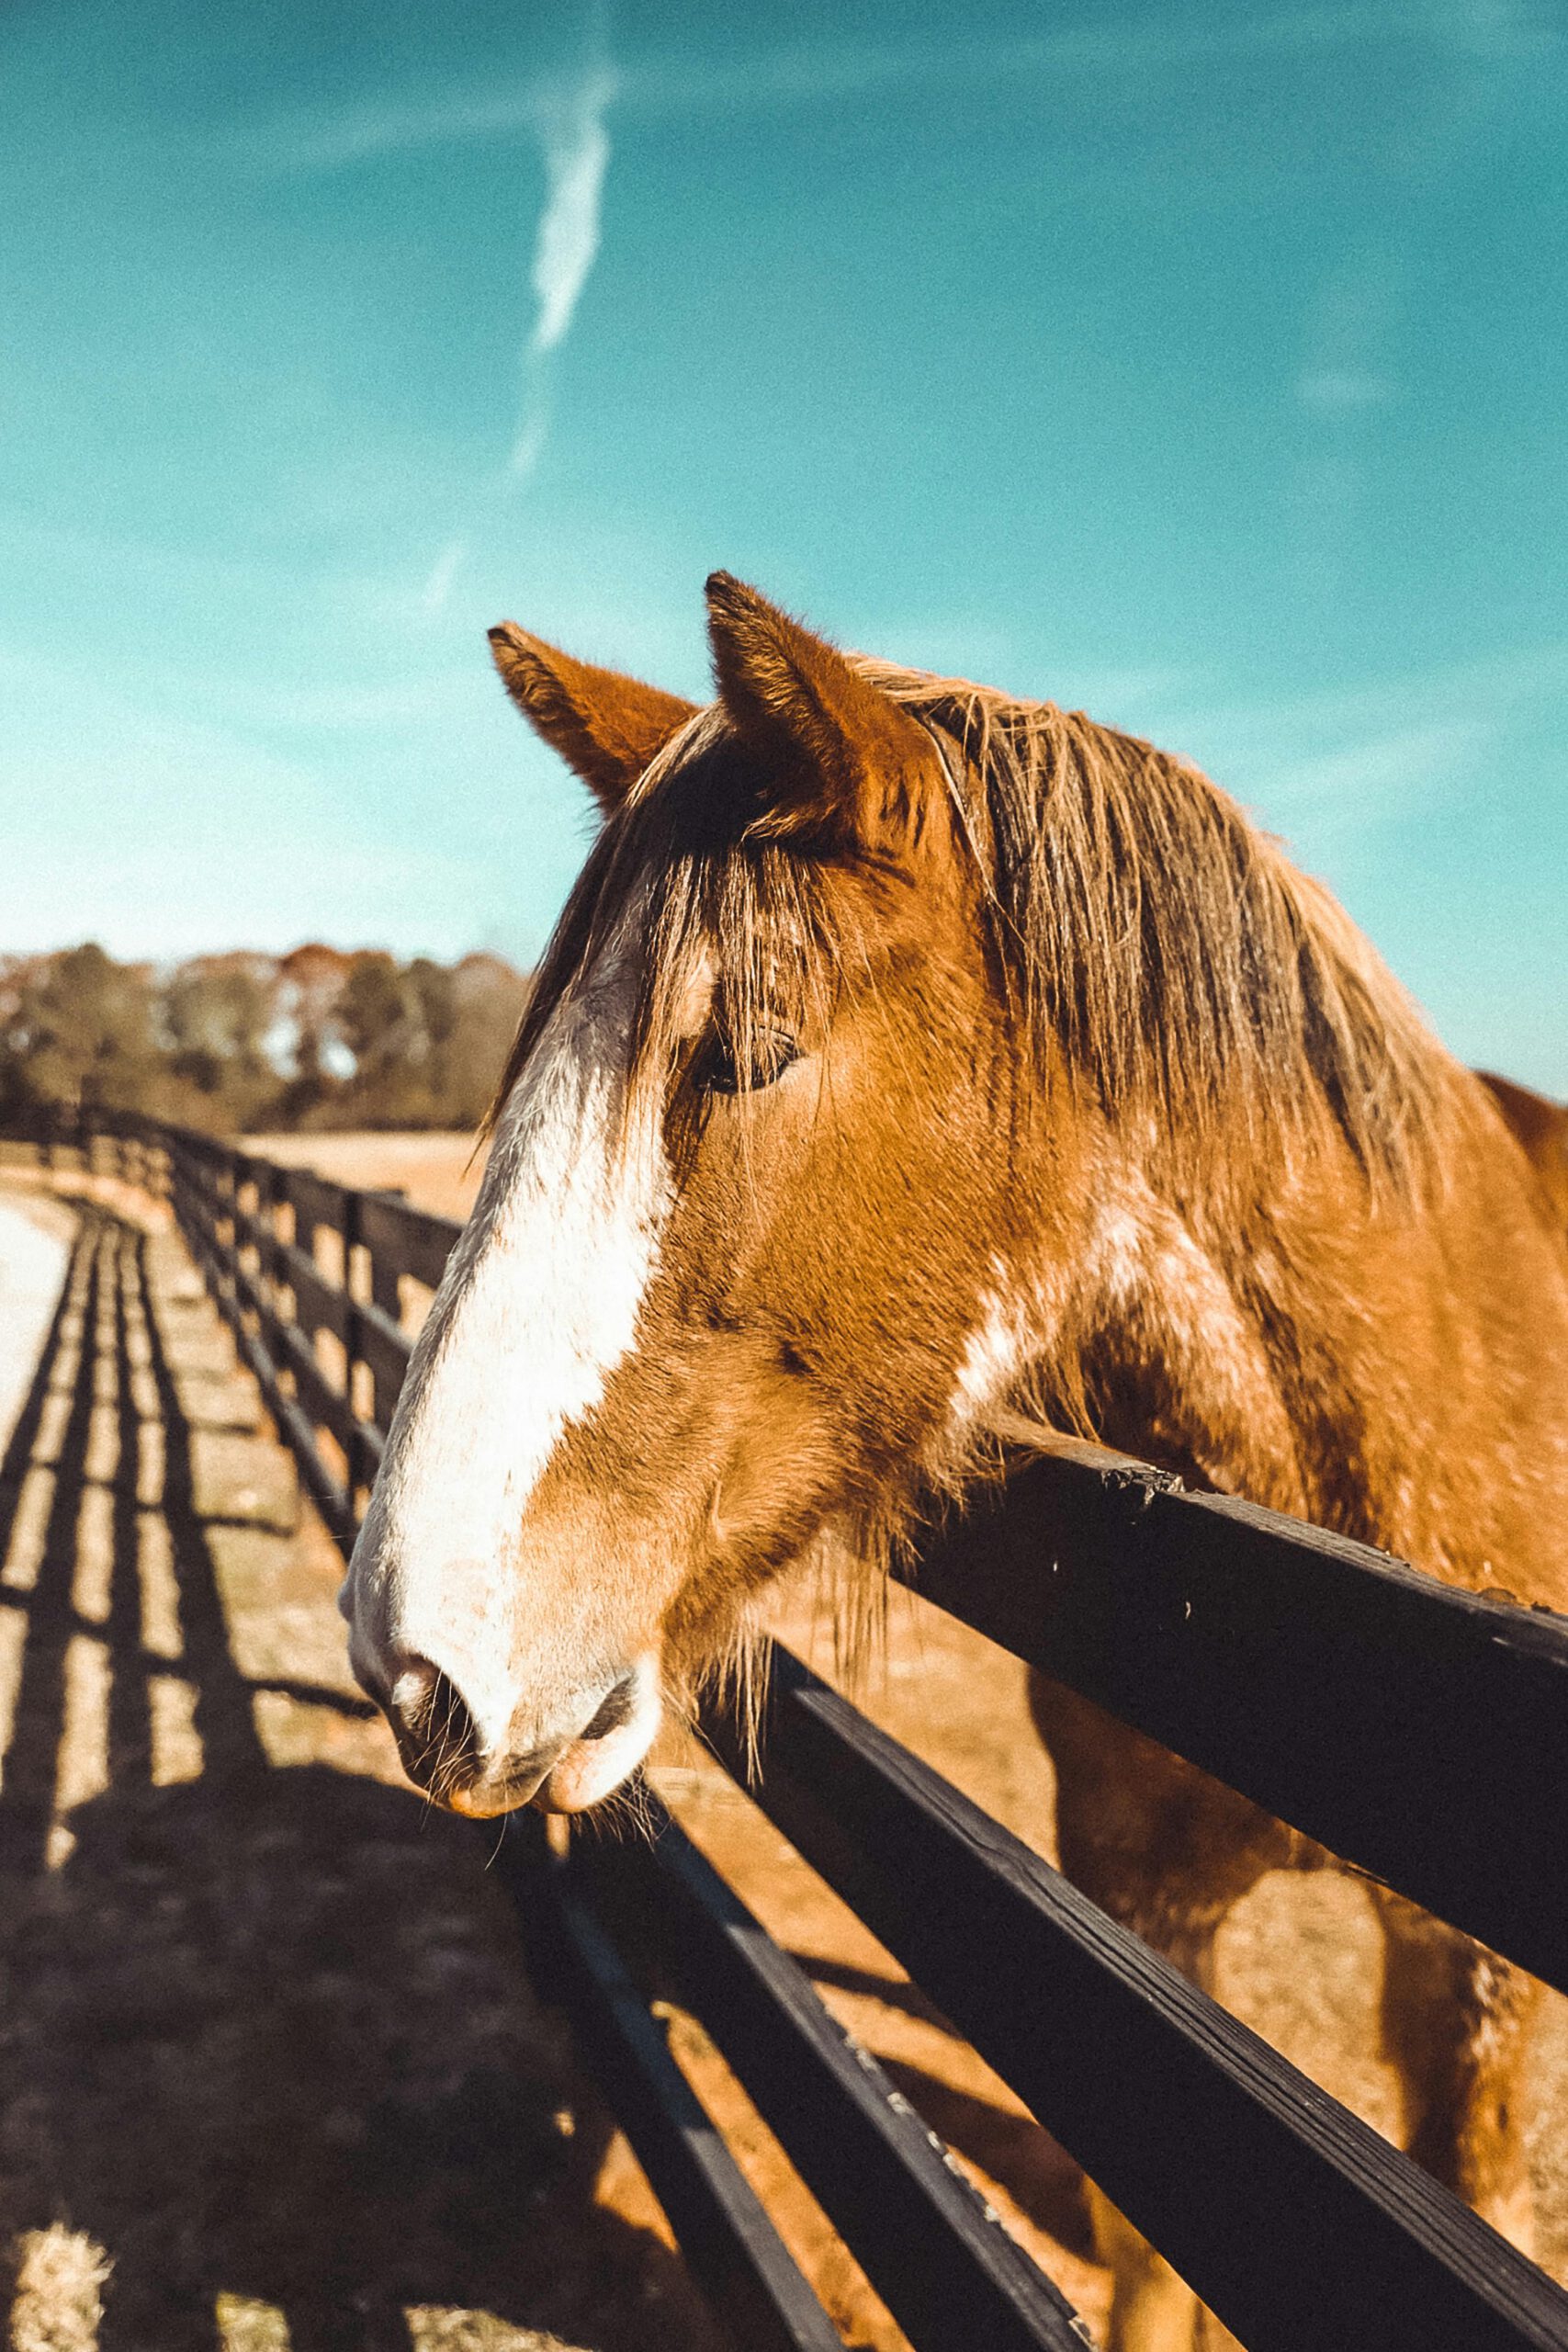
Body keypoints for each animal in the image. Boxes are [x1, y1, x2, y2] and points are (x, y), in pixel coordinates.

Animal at [343, 573, 1568, 2352]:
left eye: (752, 1049)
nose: (415, 1658)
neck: (1323, 1617)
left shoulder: (1474, 1994)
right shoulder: (1137, 1908)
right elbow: (1145, 2266)